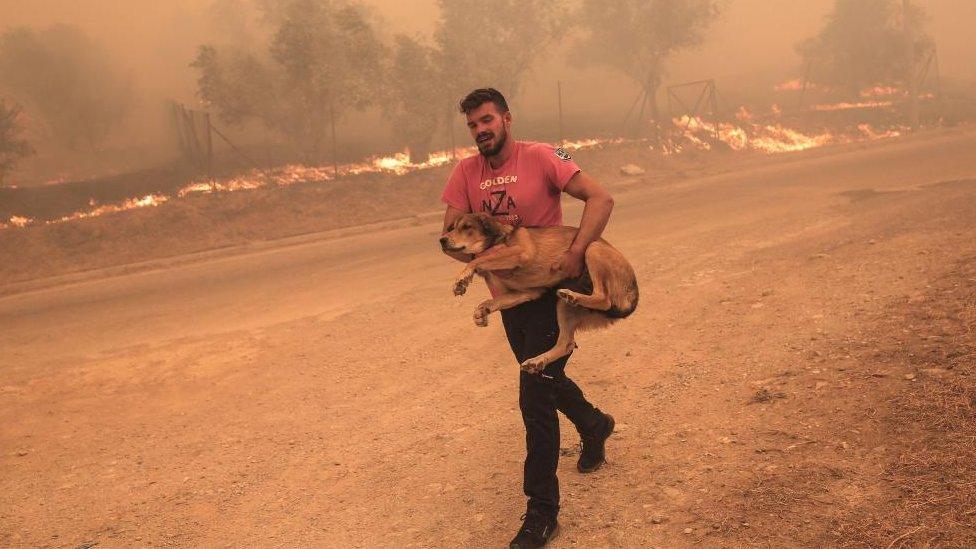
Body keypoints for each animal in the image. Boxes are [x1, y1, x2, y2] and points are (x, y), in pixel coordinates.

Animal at [438, 212, 636, 370]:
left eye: (467, 227)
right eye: (452, 227)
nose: (442, 240)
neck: (498, 239)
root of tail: (632, 295)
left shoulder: (521, 253)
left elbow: (477, 260)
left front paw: (462, 278)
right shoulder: (528, 292)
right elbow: (493, 300)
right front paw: (482, 310)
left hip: (592, 248)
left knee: (604, 298)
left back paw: (572, 295)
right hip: (564, 308)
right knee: (566, 344)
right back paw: (537, 361)